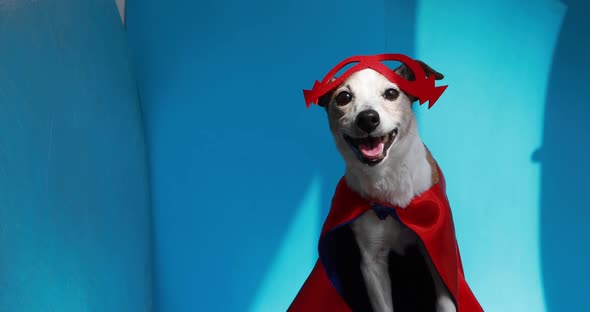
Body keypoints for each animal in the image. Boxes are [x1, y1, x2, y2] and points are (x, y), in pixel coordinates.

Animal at [320, 61, 458, 312]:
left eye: (391, 93)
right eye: (344, 97)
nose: (367, 118)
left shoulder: (435, 246)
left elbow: (444, 300)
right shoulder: (372, 262)